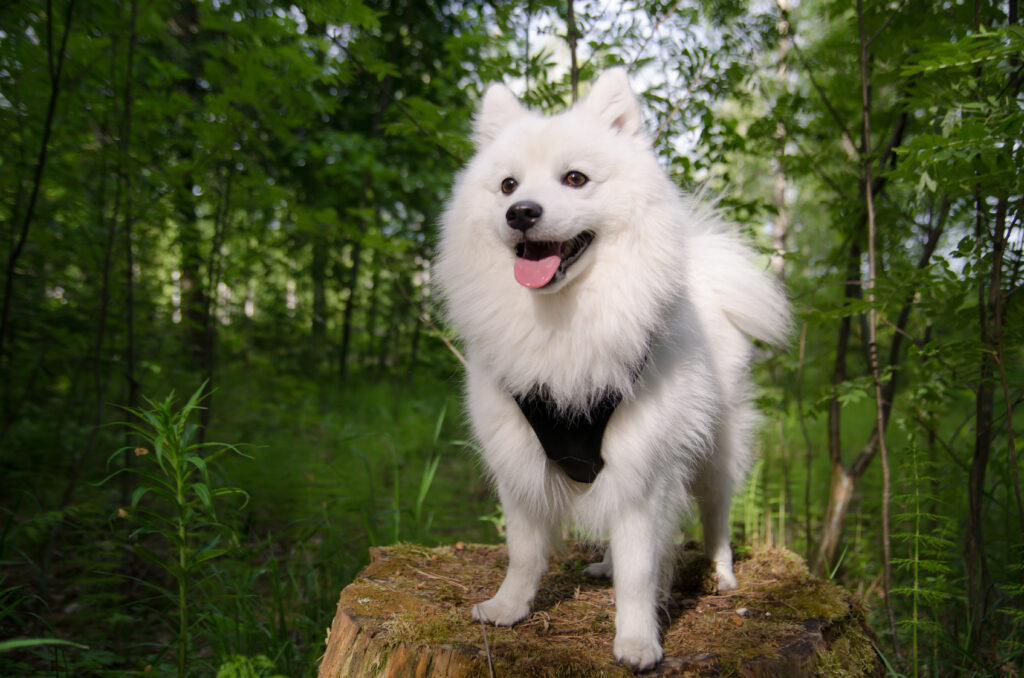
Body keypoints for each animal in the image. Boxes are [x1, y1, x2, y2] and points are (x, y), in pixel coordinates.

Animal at [432, 70, 790, 675]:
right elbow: (524, 552)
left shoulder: (645, 469)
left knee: (715, 516)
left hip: (716, 451)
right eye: (507, 185)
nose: (521, 212)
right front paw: (509, 607)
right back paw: (603, 565)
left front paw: (637, 641)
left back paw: (721, 573)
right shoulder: (518, 457)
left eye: (575, 179)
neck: (565, 322)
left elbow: (642, 569)